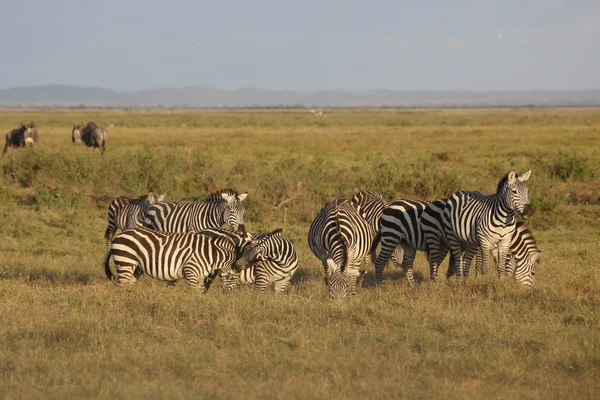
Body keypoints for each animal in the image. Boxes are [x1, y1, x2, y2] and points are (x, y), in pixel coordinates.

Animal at [104, 227, 264, 290]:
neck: (211, 252)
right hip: (125, 261)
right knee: (123, 285)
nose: (226, 295)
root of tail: (120, 235)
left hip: (136, 267)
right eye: (233, 276)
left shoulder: (201, 276)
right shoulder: (191, 272)